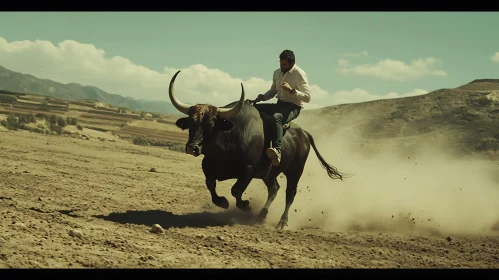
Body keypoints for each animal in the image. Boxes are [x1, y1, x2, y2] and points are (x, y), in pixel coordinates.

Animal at [170, 69, 346, 230]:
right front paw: (222, 201)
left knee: (290, 194)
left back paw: (282, 222)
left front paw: (245, 205)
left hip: (295, 171)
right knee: (274, 189)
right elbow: (211, 185)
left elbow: (236, 190)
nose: (192, 147)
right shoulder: (208, 165)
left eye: (212, 125)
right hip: (270, 173)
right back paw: (262, 214)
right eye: (191, 123)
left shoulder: (248, 169)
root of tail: (303, 133)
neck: (231, 135)